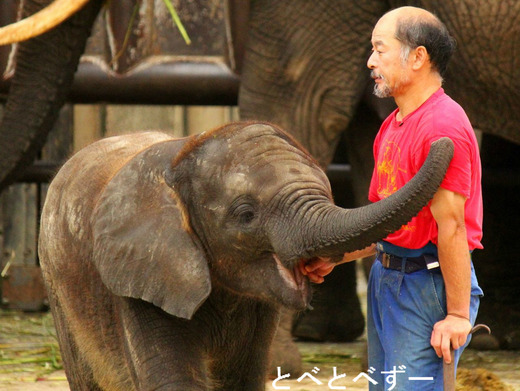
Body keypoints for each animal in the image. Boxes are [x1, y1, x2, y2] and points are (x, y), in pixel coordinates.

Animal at [38, 121, 450, 390]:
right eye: (246, 214)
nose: (443, 142)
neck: (183, 152)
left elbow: (243, 380)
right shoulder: (141, 278)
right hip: (59, 287)